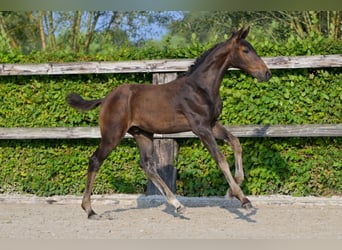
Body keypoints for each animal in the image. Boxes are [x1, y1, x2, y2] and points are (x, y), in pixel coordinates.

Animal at [67, 26, 272, 219]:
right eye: (246, 50)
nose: (266, 73)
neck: (200, 88)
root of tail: (106, 99)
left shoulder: (212, 124)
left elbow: (236, 142)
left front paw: (232, 189)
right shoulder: (201, 128)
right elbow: (220, 159)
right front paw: (242, 198)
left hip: (142, 134)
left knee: (147, 165)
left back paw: (177, 204)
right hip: (112, 134)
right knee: (95, 160)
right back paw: (90, 210)